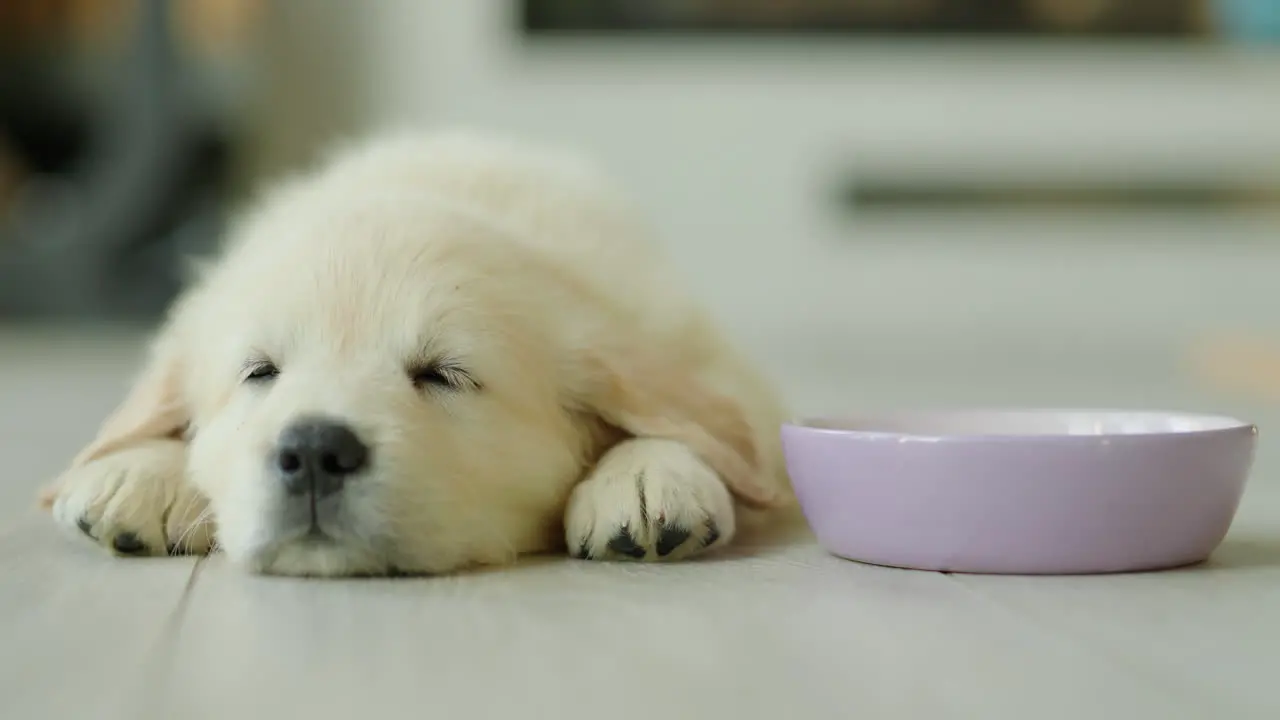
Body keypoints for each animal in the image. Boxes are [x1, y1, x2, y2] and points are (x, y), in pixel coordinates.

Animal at [40, 130, 793, 576]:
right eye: (260, 373)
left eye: (443, 375)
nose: (313, 450)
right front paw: (139, 472)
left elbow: (706, 418)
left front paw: (646, 476)